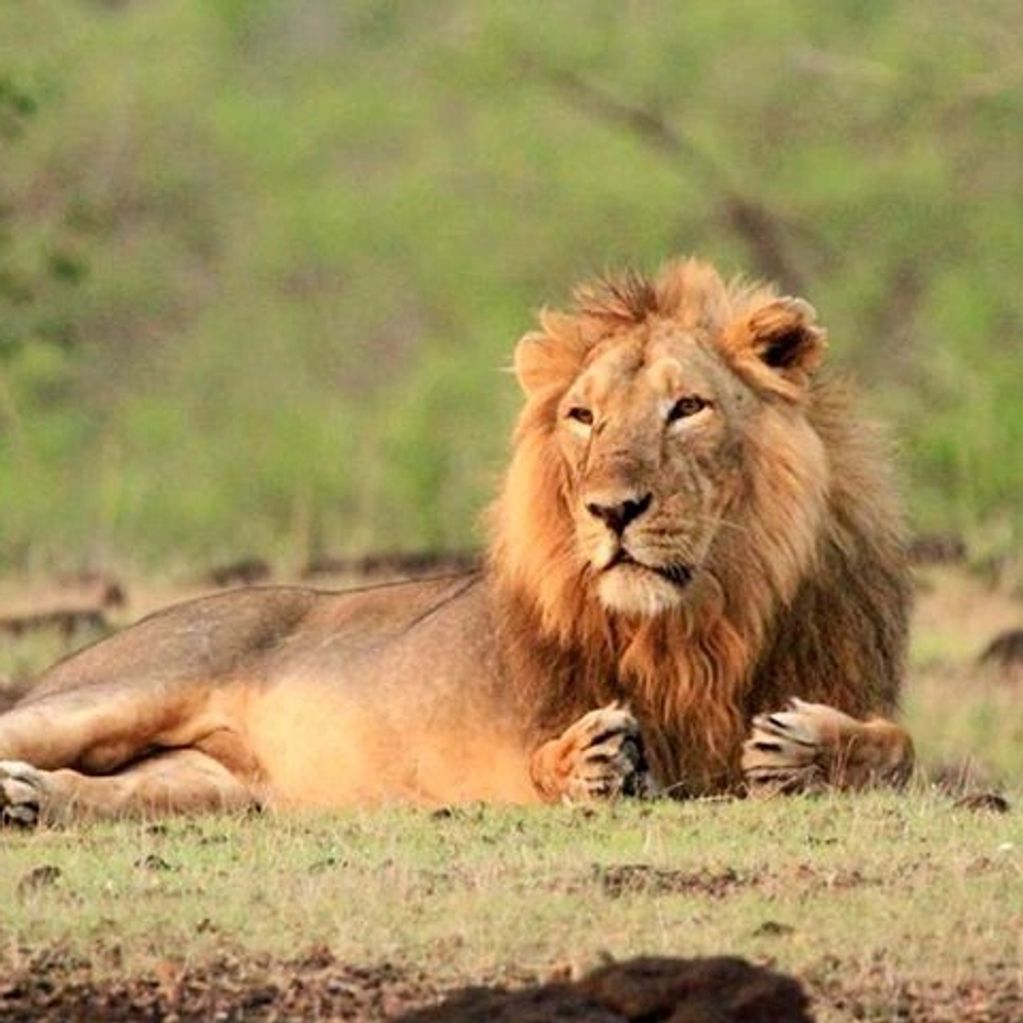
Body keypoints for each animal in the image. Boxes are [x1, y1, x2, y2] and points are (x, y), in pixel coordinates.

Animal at [0, 258, 914, 824]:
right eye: (583, 416)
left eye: (686, 407)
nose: (611, 509)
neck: (697, 626)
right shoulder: (491, 758)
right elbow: (542, 763)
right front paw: (587, 759)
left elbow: (898, 750)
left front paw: (805, 748)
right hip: (121, 690)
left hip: (217, 785)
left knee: (121, 792)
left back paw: (31, 801)